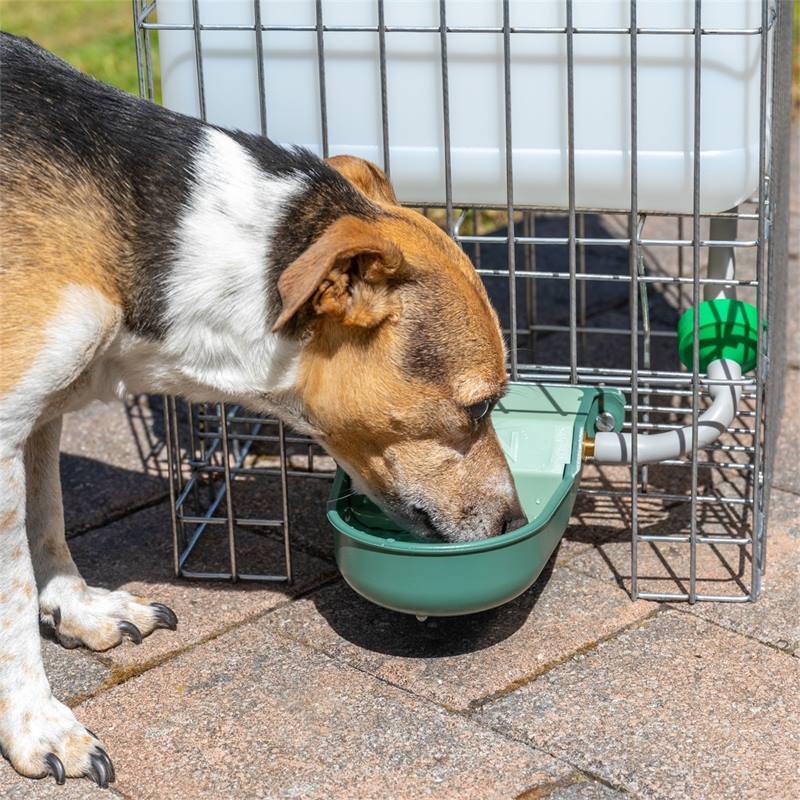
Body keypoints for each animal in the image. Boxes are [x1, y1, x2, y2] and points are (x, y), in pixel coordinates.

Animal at [0, 32, 524, 788]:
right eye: (480, 406)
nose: (516, 522)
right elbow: (10, 598)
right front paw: (36, 723)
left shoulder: (38, 409)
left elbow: (48, 521)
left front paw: (77, 608)